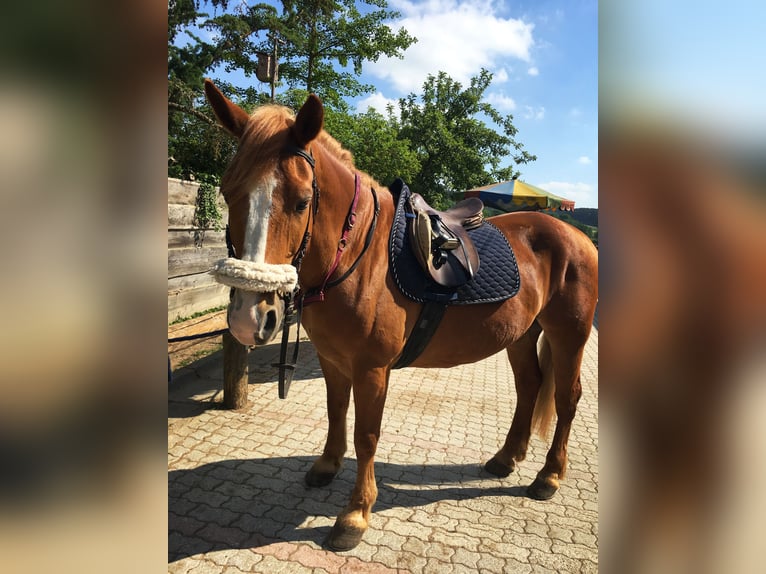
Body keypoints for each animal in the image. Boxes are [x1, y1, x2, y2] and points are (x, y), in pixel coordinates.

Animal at [203, 79, 599, 551]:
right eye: (228, 192)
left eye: (301, 202)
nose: (249, 317)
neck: (358, 256)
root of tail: (577, 236)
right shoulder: (333, 360)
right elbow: (336, 412)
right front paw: (327, 466)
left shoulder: (372, 368)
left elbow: (366, 435)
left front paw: (355, 515)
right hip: (521, 335)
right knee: (530, 386)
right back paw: (506, 458)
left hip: (569, 334)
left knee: (567, 398)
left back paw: (549, 476)